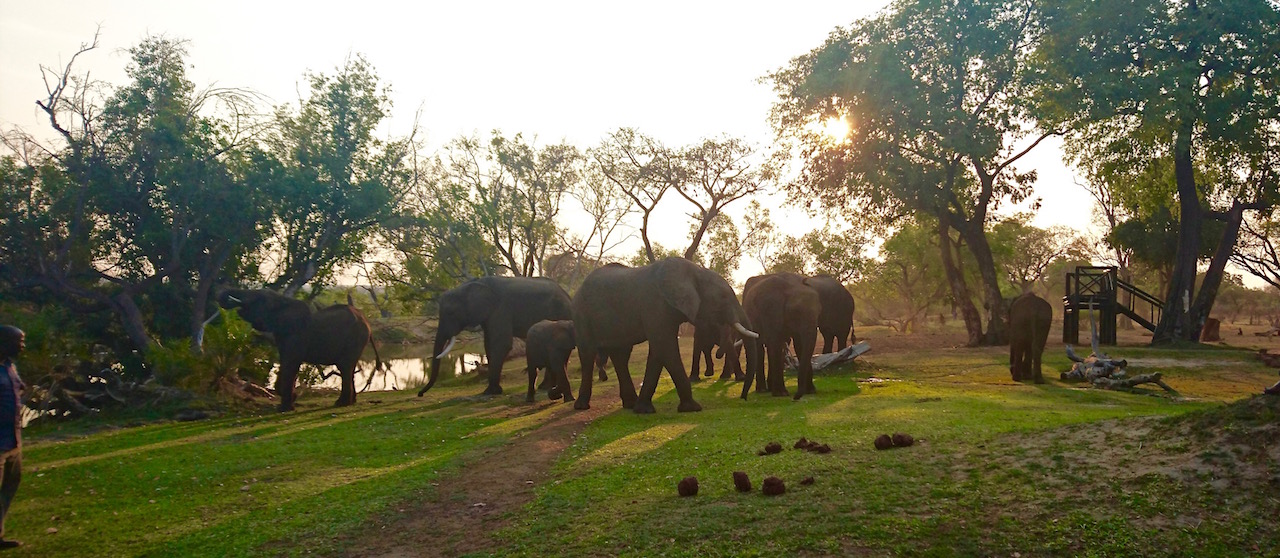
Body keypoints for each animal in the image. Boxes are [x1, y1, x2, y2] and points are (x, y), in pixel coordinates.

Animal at [217, 290, 384, 412]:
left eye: (258, 299)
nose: (223, 294)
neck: (282, 301)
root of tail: (367, 322)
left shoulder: (295, 337)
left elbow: (290, 363)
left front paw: (285, 407)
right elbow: (286, 364)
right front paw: (291, 400)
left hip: (354, 339)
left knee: (345, 367)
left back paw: (341, 404)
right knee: (348, 369)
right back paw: (349, 402)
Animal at [419, 275, 570, 396]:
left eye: (451, 313)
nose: (420, 394)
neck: (471, 284)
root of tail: (566, 294)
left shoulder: (500, 309)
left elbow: (501, 343)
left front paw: (490, 392)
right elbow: (488, 344)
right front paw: (494, 390)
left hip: (559, 311)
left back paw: (546, 387)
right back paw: (545, 387)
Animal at [570, 258, 757, 414]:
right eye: (723, 297)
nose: (743, 398)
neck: (694, 271)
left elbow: (658, 351)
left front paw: (643, 409)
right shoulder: (655, 305)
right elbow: (665, 347)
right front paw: (693, 408)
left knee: (620, 355)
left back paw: (630, 404)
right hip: (581, 315)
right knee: (587, 354)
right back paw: (582, 406)